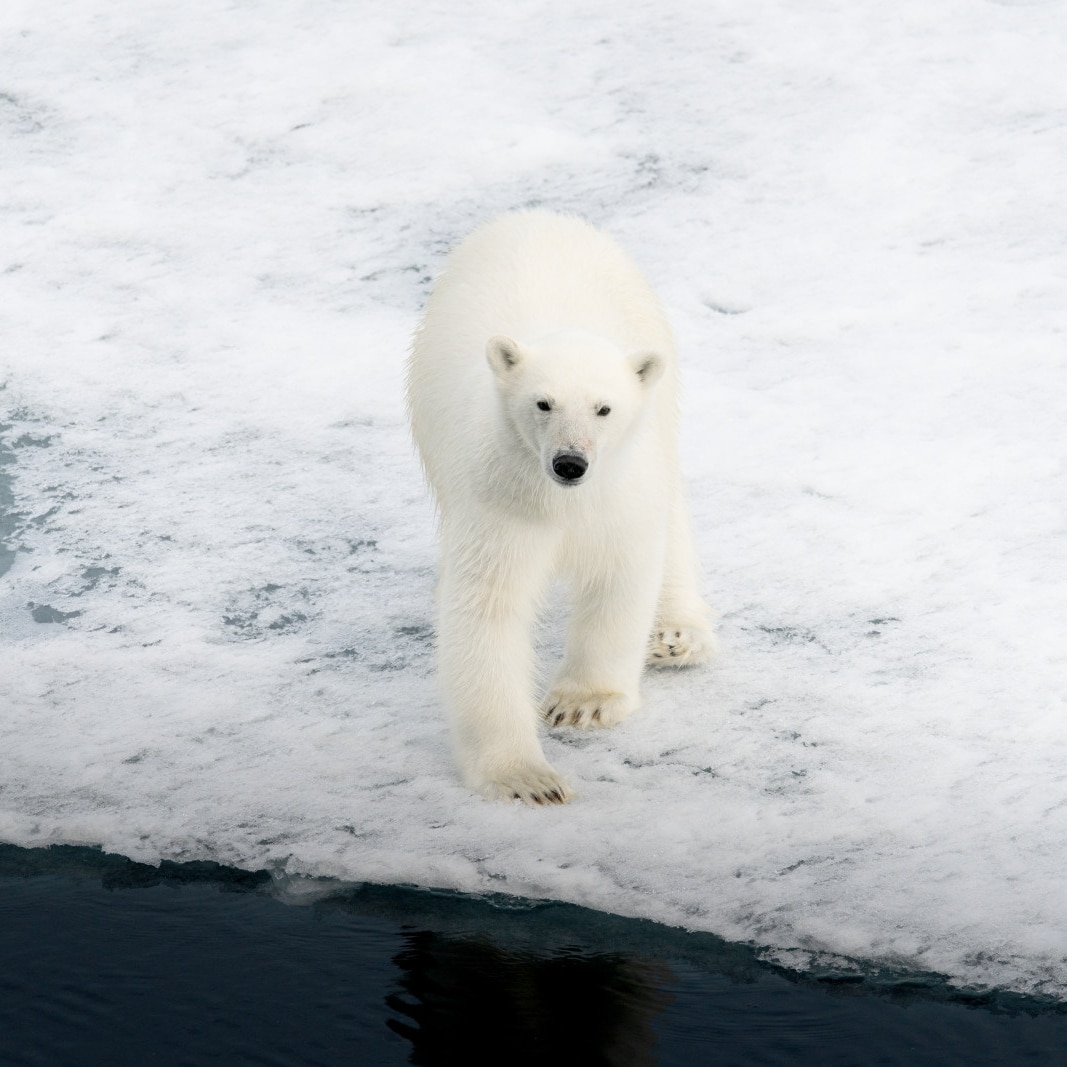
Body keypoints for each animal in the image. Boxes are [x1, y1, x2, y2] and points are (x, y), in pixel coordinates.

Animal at [403, 212, 712, 802]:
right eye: (542, 403)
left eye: (603, 408)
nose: (570, 463)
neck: (561, 503)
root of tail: (535, 216)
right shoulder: (499, 500)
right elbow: (489, 607)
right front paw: (526, 778)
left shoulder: (617, 498)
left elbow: (619, 577)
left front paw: (584, 704)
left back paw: (676, 636)